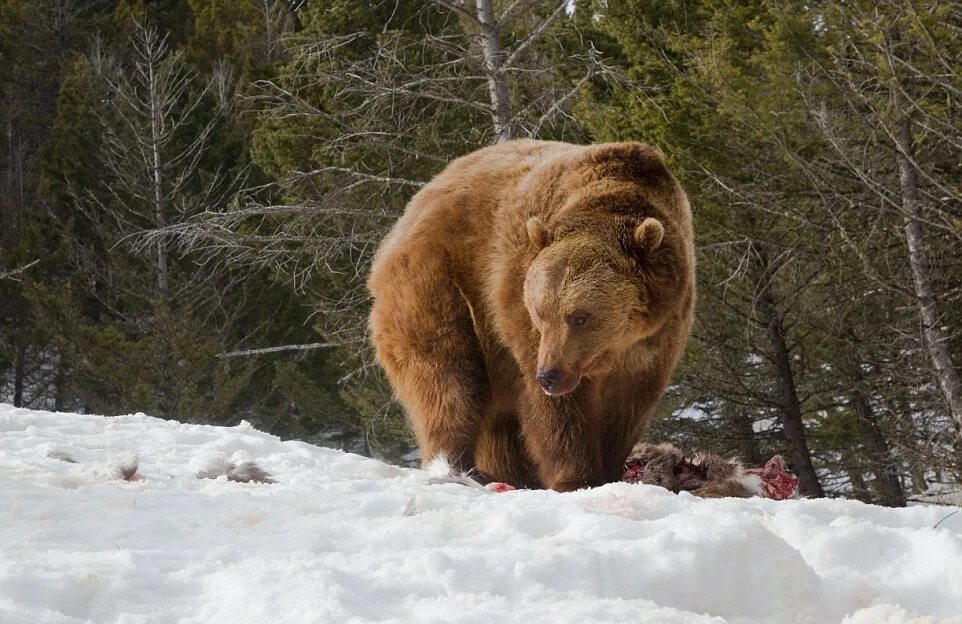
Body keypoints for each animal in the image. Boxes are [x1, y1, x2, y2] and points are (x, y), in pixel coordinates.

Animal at [366, 140, 688, 492]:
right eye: (540, 312)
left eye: (579, 317)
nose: (549, 375)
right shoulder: (519, 306)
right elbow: (557, 412)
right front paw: (576, 477)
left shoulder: (656, 337)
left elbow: (627, 408)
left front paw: (610, 469)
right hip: (438, 284)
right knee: (450, 376)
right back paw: (457, 467)